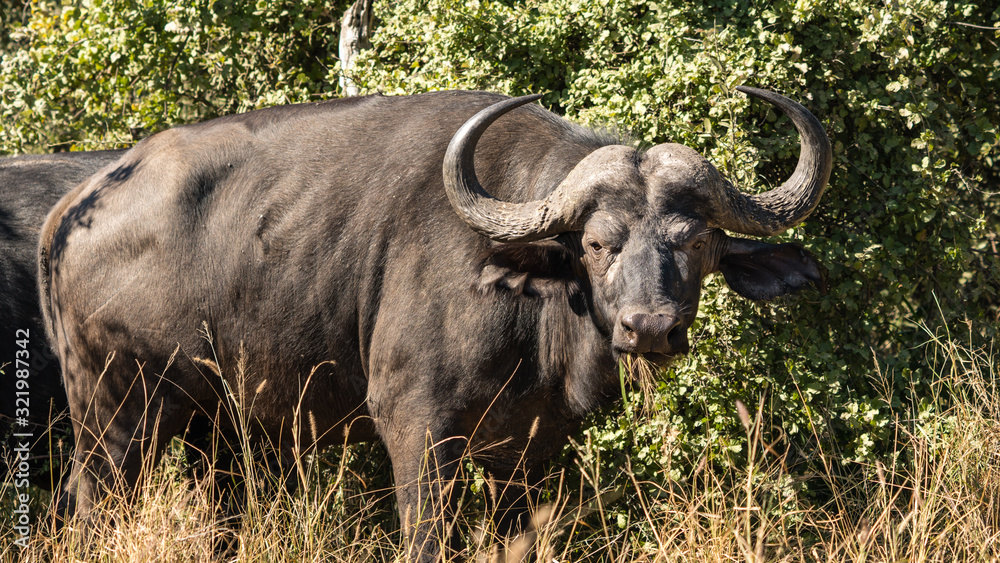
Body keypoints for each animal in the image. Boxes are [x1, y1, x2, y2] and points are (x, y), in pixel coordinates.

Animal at [40, 87, 831, 560]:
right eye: (598, 243)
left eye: (695, 243)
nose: (649, 327)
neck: (535, 318)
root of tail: (76, 206)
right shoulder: (417, 431)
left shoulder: (528, 453)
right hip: (116, 418)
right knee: (90, 507)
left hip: (216, 426)